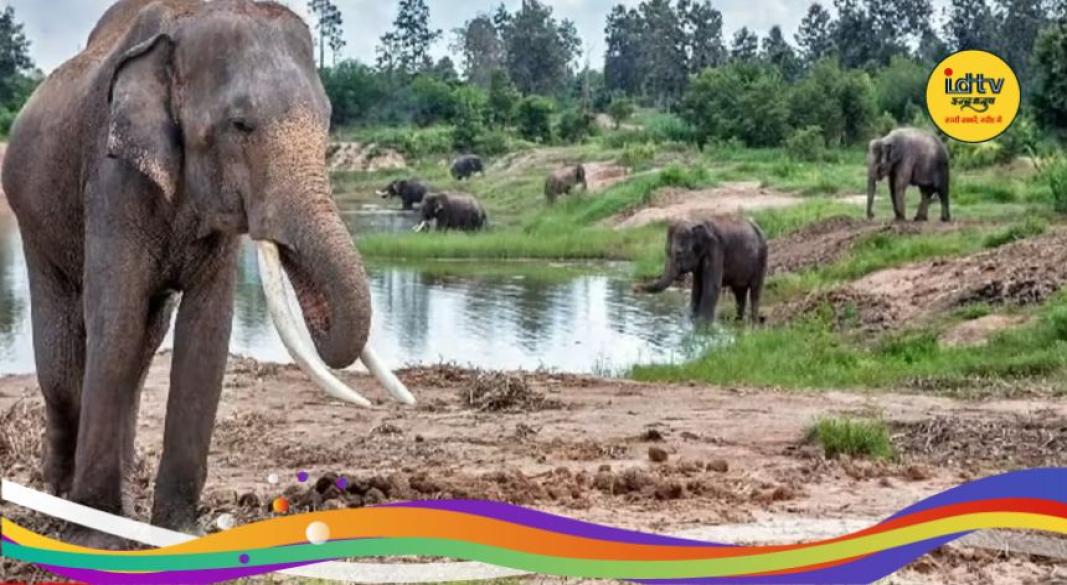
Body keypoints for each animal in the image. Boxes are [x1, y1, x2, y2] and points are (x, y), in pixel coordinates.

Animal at [2, 0, 413, 534]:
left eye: (327, 121)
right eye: (240, 125)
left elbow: (208, 330)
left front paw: (177, 532)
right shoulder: (112, 178)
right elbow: (115, 317)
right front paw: (97, 537)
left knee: (142, 347)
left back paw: (122, 501)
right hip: (32, 214)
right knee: (63, 351)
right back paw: (56, 501)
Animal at [640, 217, 768, 325]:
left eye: (679, 253)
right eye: (666, 251)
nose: (637, 287)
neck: (696, 222)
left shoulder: (716, 250)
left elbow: (711, 287)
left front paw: (703, 324)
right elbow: (697, 288)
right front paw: (692, 320)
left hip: (762, 259)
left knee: (755, 292)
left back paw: (753, 324)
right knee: (739, 293)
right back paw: (738, 323)